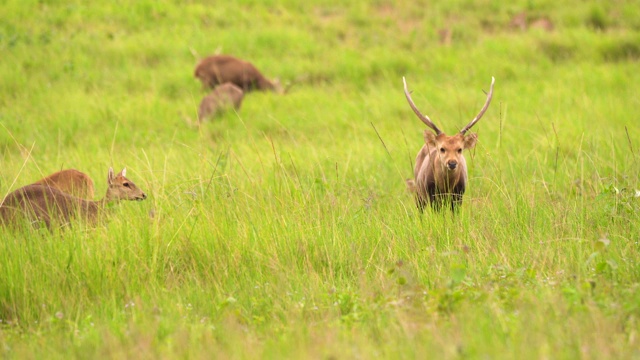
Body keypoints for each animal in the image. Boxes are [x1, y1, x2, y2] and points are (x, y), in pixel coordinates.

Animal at [404, 76, 496, 211]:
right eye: (442, 148)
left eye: (460, 149)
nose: (452, 163)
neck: (446, 187)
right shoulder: (432, 195)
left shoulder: (458, 195)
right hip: (419, 191)